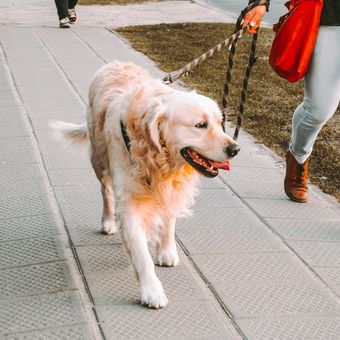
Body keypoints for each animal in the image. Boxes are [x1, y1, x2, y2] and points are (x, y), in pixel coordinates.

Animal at [52, 60, 239, 308]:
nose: (235, 149)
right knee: (106, 190)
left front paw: (166, 250)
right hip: (99, 159)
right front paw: (152, 291)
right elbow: (141, 255)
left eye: (220, 123)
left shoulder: (171, 190)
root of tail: (115, 63)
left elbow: (169, 220)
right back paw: (108, 221)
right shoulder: (130, 204)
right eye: (201, 125)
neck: (159, 159)